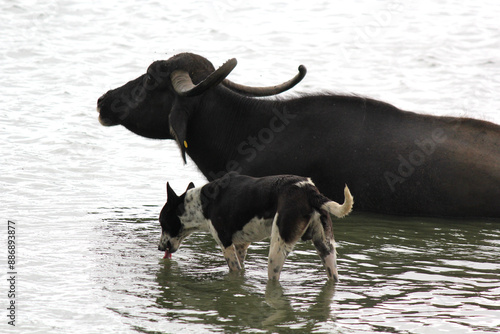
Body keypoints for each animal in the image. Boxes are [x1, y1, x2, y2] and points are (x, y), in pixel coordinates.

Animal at [158, 174, 354, 280]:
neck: (201, 203)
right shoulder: (241, 246)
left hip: (276, 253)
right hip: (326, 251)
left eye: (161, 222)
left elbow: (235, 269)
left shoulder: (226, 244)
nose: (159, 247)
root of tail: (309, 190)